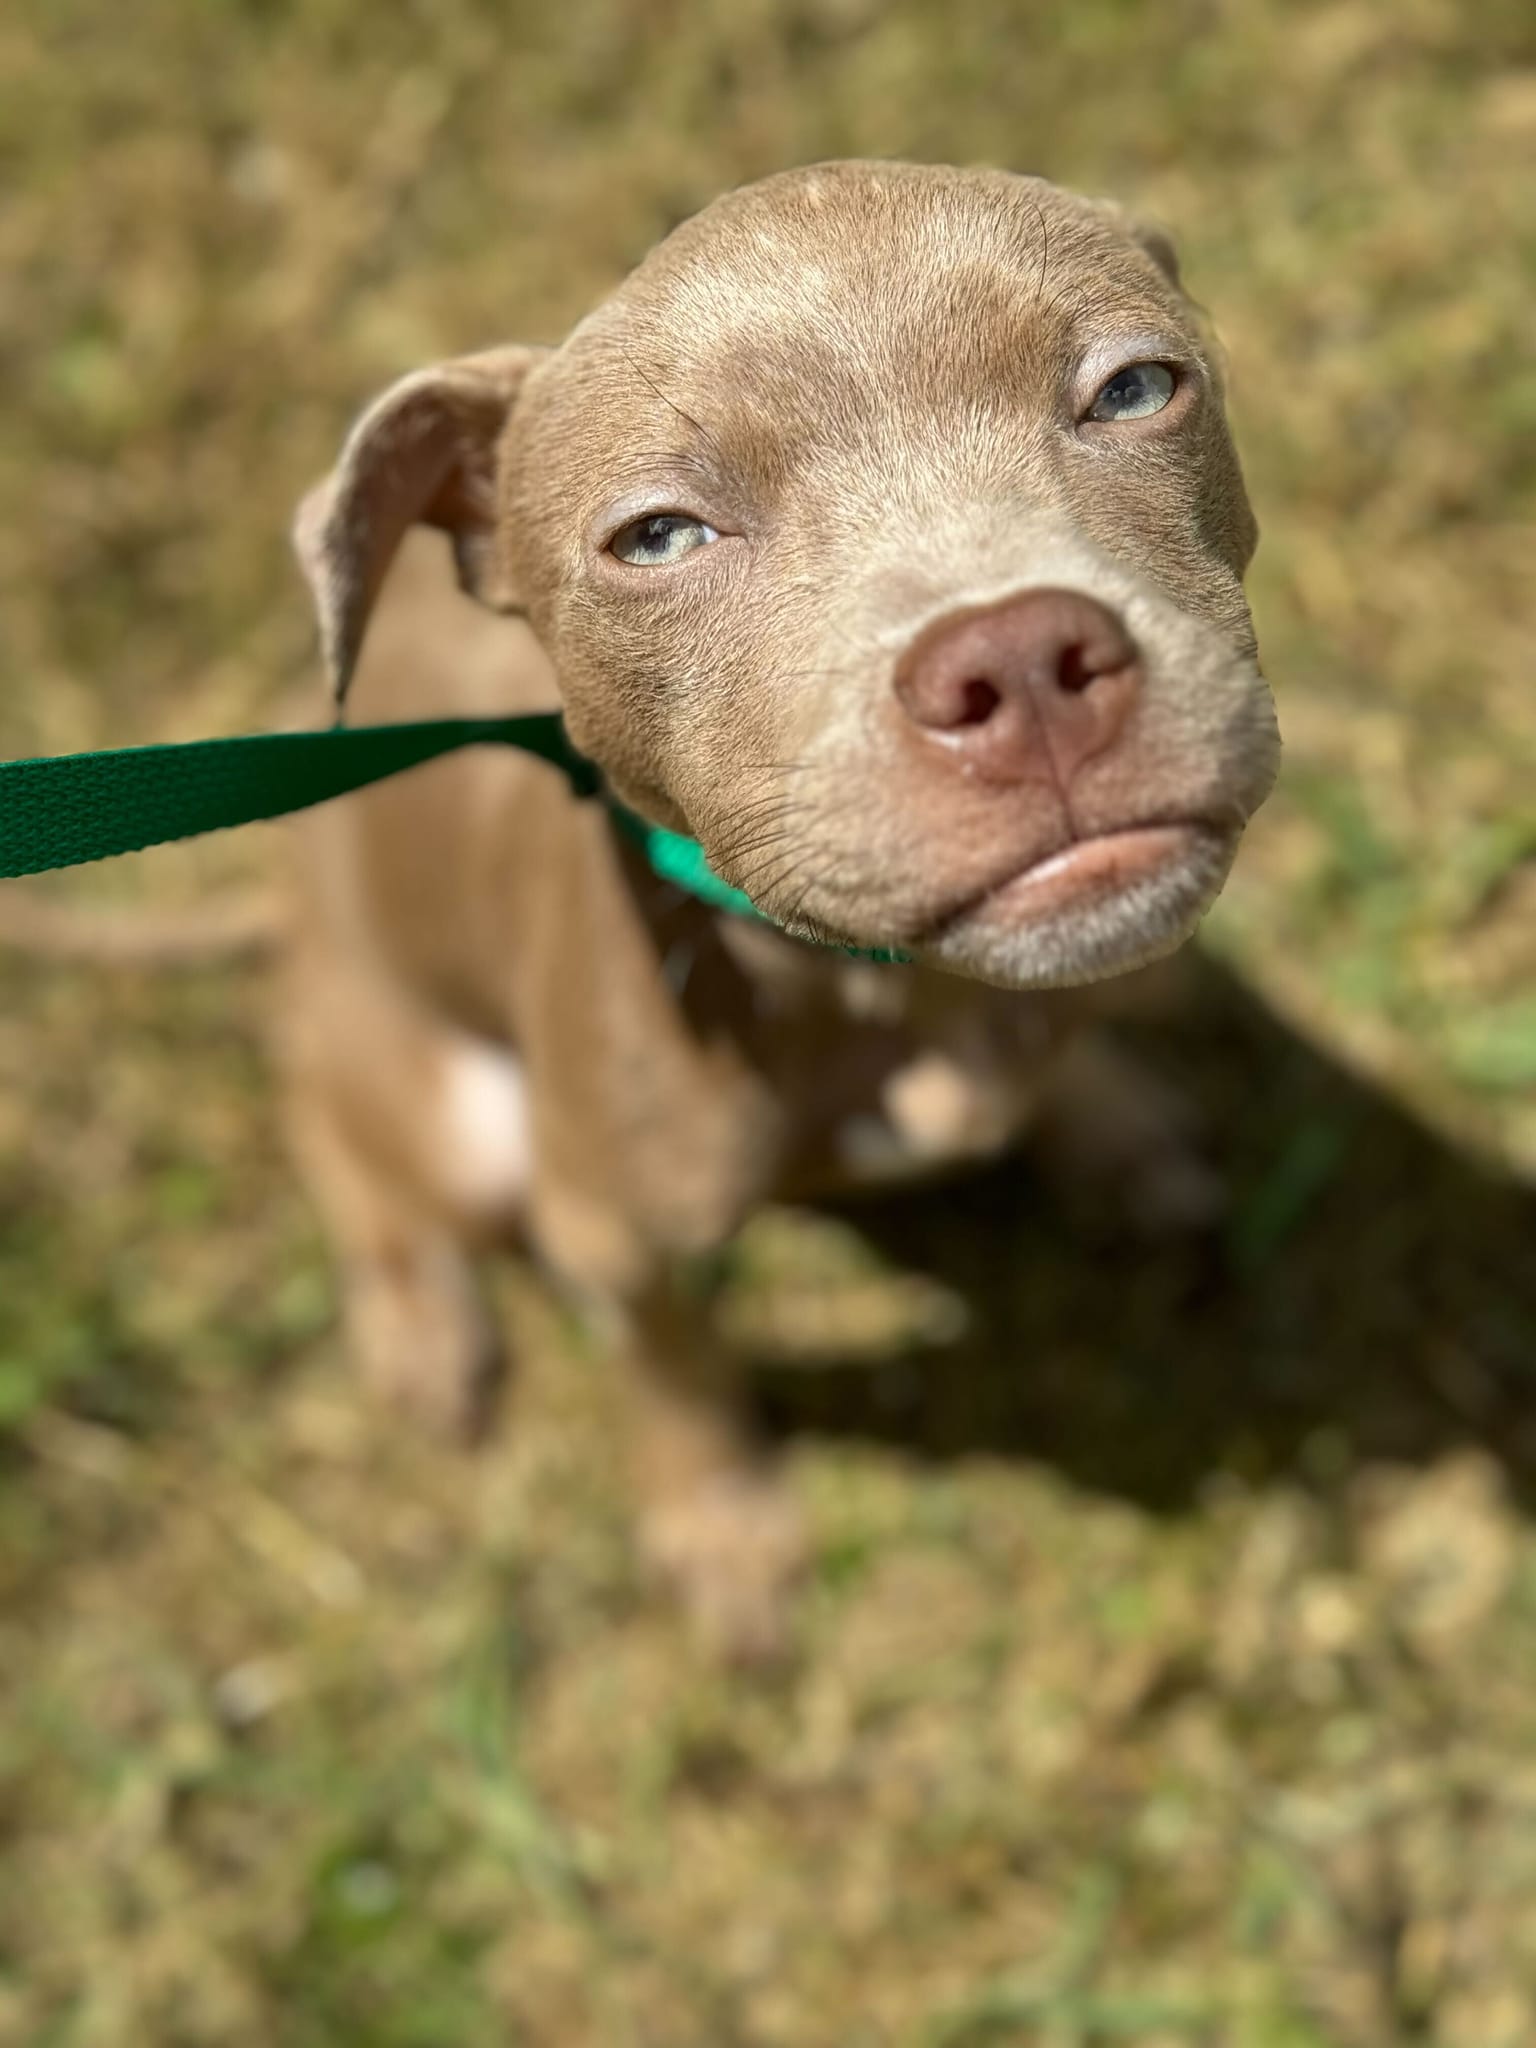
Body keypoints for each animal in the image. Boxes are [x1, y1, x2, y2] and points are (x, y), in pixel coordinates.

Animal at [282, 163, 1277, 1662]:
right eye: (658, 536)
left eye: (1134, 387)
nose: (1016, 661)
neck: (897, 996)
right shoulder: (612, 1232)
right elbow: (676, 1365)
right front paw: (725, 1527)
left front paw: (1110, 1128)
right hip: (436, 1105)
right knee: (338, 1137)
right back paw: (416, 1322)